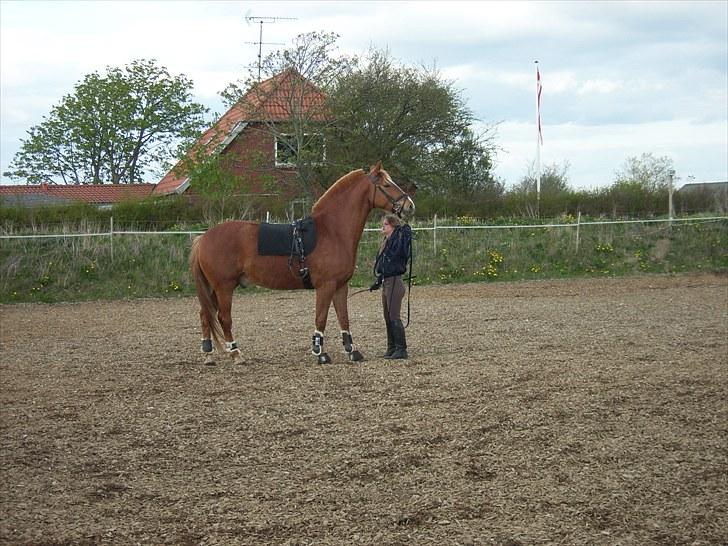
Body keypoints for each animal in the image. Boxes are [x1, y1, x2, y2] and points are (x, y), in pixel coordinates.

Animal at [188, 162, 416, 366]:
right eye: (386, 184)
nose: (410, 205)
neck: (332, 231)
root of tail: (204, 238)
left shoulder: (340, 286)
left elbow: (343, 318)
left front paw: (352, 351)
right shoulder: (325, 286)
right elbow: (321, 318)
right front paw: (320, 353)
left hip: (213, 288)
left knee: (205, 315)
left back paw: (208, 355)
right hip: (224, 287)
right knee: (223, 318)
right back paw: (236, 355)